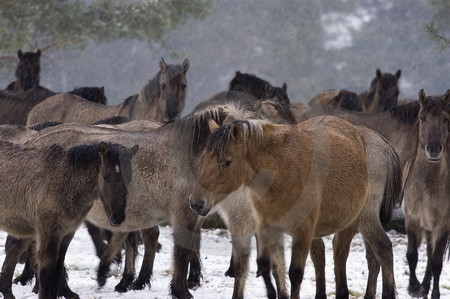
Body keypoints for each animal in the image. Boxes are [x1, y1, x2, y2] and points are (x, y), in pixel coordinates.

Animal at [0, 141, 138, 299]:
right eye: (105, 176)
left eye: (129, 178)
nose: (118, 217)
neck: (66, 180)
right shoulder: (48, 232)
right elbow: (47, 273)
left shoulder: (67, 232)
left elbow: (58, 268)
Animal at [190, 116, 398, 299]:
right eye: (202, 159)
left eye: (227, 161)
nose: (196, 202)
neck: (283, 171)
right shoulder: (267, 228)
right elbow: (266, 265)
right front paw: (272, 293)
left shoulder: (301, 232)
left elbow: (294, 273)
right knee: (328, 255)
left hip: (355, 221)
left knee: (363, 253)